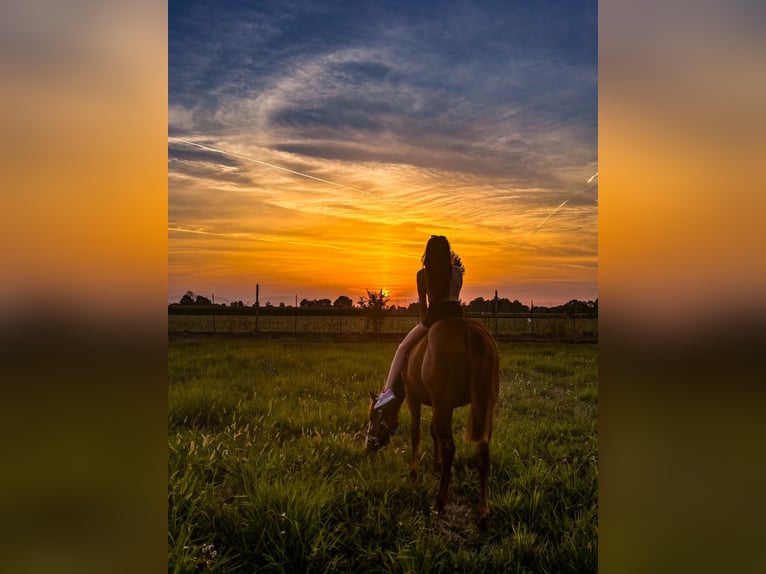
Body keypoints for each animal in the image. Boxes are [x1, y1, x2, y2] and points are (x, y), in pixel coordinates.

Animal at [368, 318, 504, 528]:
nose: (369, 446)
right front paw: (436, 465)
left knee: (450, 448)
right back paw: (483, 510)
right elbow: (434, 432)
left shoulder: (414, 399)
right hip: (483, 406)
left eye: (373, 417)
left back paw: (440, 503)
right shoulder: (438, 406)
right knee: (482, 450)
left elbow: (416, 433)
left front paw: (414, 472)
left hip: (444, 404)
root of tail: (469, 330)